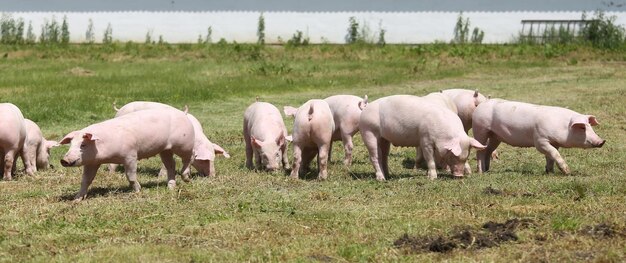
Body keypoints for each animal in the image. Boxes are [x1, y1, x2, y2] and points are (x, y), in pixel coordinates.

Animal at [60, 108, 195, 203]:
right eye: (71, 144)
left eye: (83, 145)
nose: (64, 160)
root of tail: (183, 114)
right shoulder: (92, 163)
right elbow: (85, 180)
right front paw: (76, 199)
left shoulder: (130, 155)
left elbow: (130, 176)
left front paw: (138, 191)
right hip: (165, 149)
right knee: (171, 164)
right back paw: (171, 187)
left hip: (184, 143)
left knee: (190, 157)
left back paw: (186, 178)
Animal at [358, 95, 486, 182]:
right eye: (453, 155)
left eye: (466, 156)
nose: (459, 176)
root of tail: (366, 108)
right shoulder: (425, 140)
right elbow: (430, 159)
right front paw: (432, 178)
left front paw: (469, 173)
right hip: (368, 132)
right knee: (375, 157)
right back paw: (381, 178)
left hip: (384, 138)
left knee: (384, 156)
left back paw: (388, 175)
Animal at [472, 99, 604, 175]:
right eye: (582, 128)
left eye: (590, 126)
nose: (602, 141)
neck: (562, 126)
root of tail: (480, 106)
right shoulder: (540, 140)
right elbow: (553, 153)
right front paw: (567, 172)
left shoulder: (554, 142)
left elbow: (551, 156)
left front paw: (550, 172)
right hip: (480, 129)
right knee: (480, 151)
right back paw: (480, 172)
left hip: (495, 136)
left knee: (488, 150)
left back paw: (487, 170)